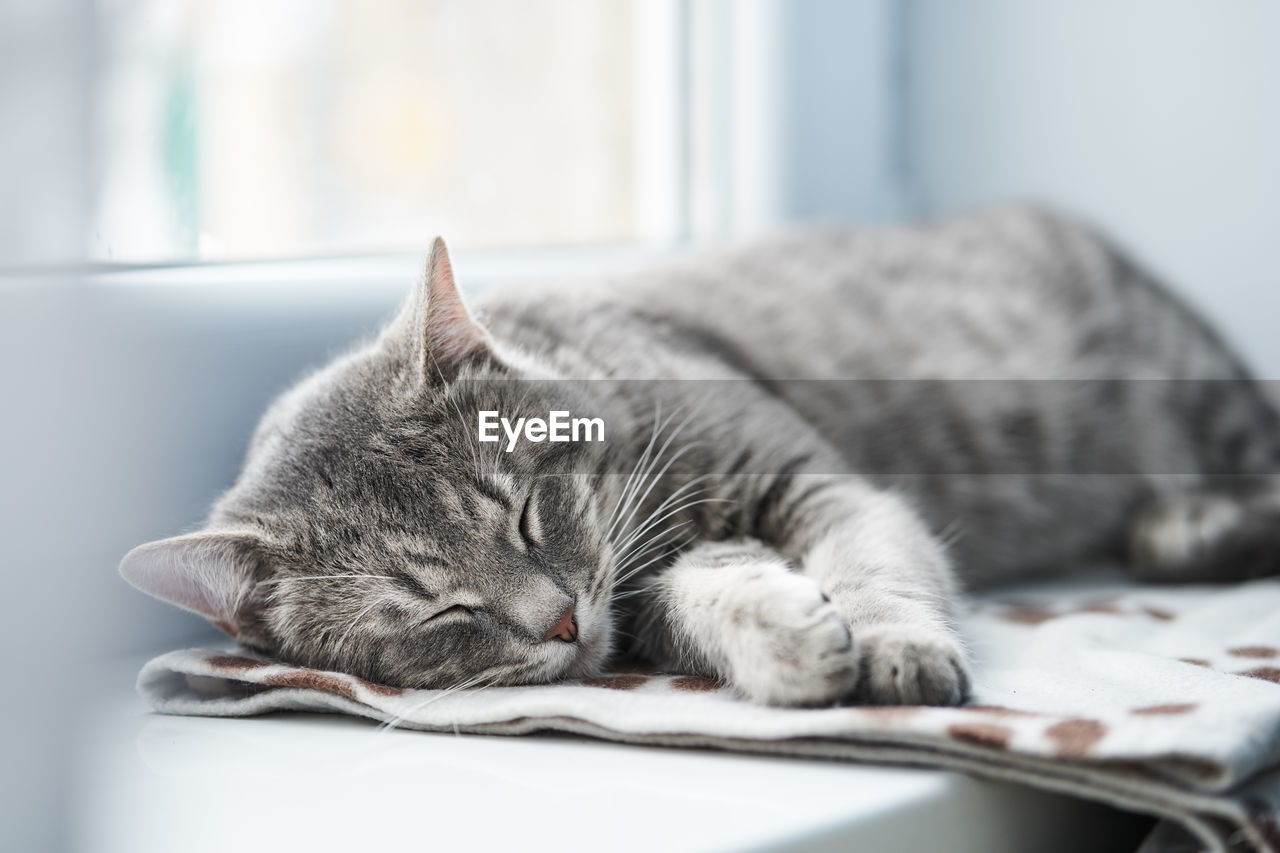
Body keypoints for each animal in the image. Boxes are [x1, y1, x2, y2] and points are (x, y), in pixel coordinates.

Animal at [120, 206, 1280, 701]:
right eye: (437, 612)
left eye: (523, 513)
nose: (558, 619)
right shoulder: (655, 592)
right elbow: (699, 599)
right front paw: (784, 637)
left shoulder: (824, 487)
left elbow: (877, 569)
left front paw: (894, 644)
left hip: (1197, 393)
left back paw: (1189, 527)